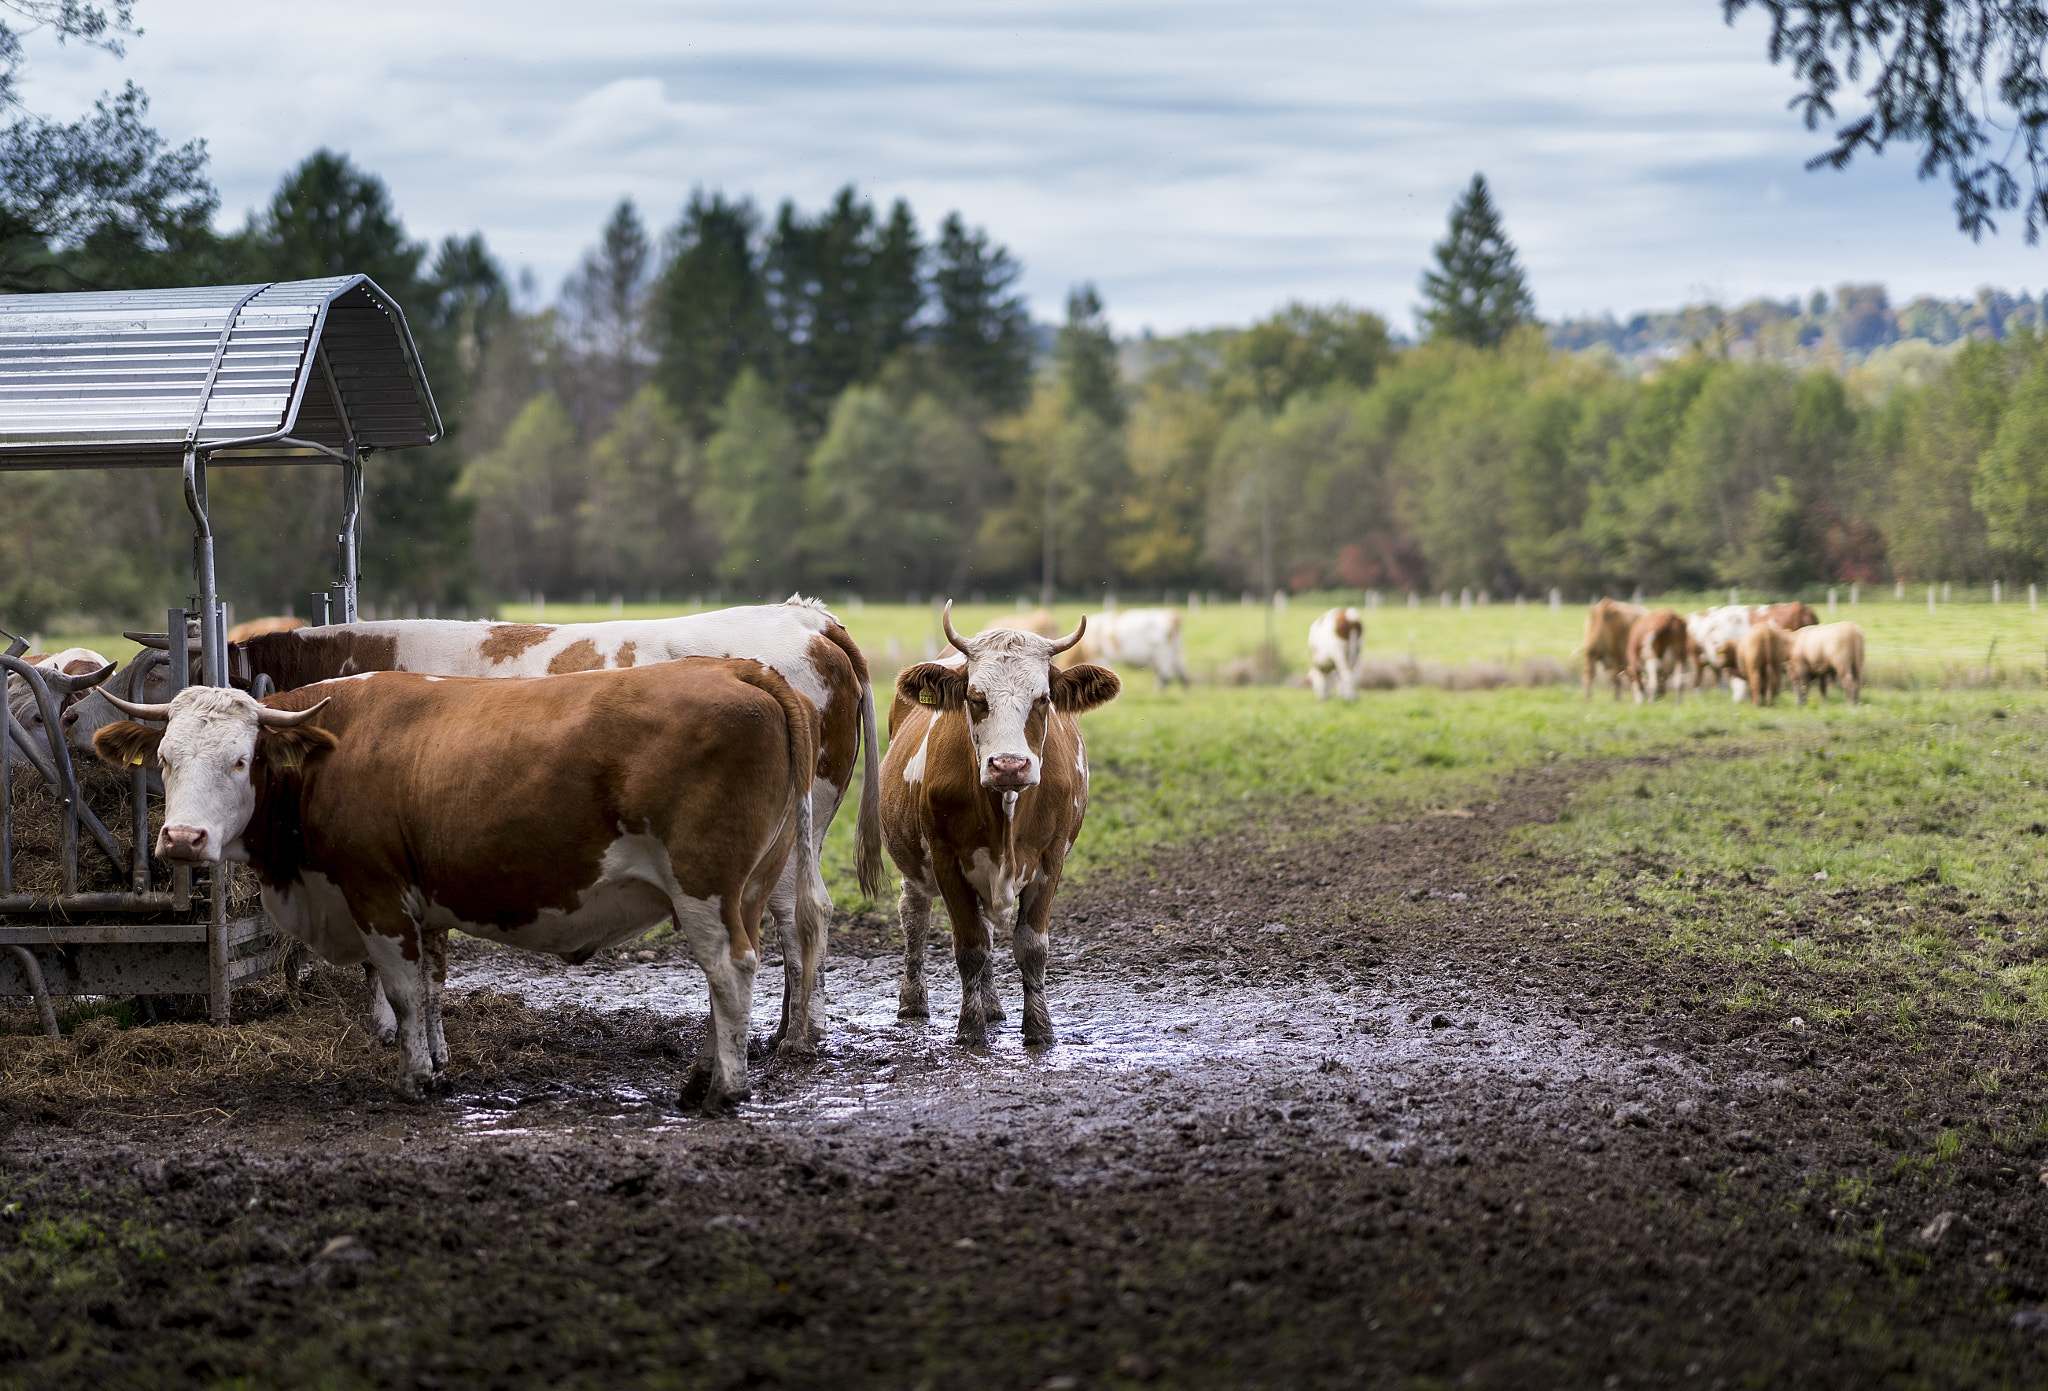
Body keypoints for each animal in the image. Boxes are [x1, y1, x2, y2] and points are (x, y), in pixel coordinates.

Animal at [77, 594, 880, 1048]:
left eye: (160, 673)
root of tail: (807, 617)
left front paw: (386, 1028)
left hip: (787, 834)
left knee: (799, 918)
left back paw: (790, 1039)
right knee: (799, 919)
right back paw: (795, 1029)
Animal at [94, 667, 831, 1114]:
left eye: (240, 760)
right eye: (165, 759)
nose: (183, 839)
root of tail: (737, 667)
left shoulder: (376, 892)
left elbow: (401, 992)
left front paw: (415, 1078)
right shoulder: (424, 903)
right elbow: (432, 987)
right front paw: (441, 1063)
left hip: (704, 886)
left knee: (729, 971)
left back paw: (724, 1089)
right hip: (748, 889)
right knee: (726, 975)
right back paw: (703, 1074)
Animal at [880, 602, 1122, 1048]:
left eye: (1043, 698)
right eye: (976, 698)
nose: (1009, 765)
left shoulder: (1051, 857)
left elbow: (1031, 947)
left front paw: (1039, 1028)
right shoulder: (945, 858)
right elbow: (970, 946)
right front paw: (970, 1028)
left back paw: (992, 1005)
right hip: (914, 862)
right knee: (915, 915)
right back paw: (913, 1001)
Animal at [1064, 610, 1196, 692]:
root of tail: (1171, 616)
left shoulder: (1101, 657)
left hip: (1163, 655)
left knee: (1165, 676)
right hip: (1176, 653)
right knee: (1181, 673)